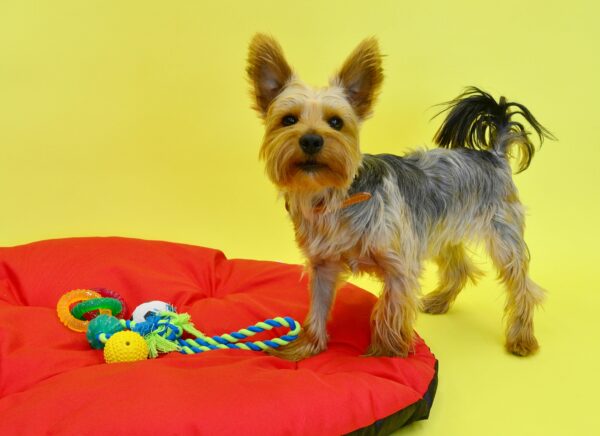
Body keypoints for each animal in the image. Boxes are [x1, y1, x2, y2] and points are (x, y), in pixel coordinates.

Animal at [246, 34, 556, 362]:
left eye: (336, 122)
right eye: (288, 120)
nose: (311, 140)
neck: (334, 196)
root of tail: (493, 154)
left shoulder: (399, 263)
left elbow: (389, 311)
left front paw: (386, 354)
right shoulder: (323, 264)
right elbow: (318, 305)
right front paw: (305, 346)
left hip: (503, 235)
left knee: (523, 286)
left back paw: (521, 338)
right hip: (442, 228)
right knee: (460, 268)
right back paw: (440, 301)